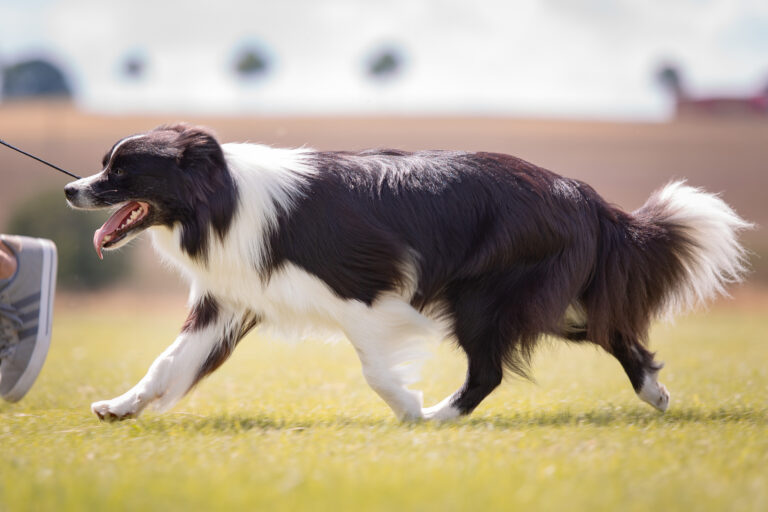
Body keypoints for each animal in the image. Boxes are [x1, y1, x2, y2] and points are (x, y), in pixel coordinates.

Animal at [66, 123, 752, 420]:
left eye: (121, 169)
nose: (73, 189)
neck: (222, 198)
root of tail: (586, 196)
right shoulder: (230, 302)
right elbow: (169, 363)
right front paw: (120, 407)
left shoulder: (365, 288)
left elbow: (374, 367)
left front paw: (410, 408)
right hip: (548, 301)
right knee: (616, 334)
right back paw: (655, 394)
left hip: (485, 298)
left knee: (489, 371)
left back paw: (443, 417)